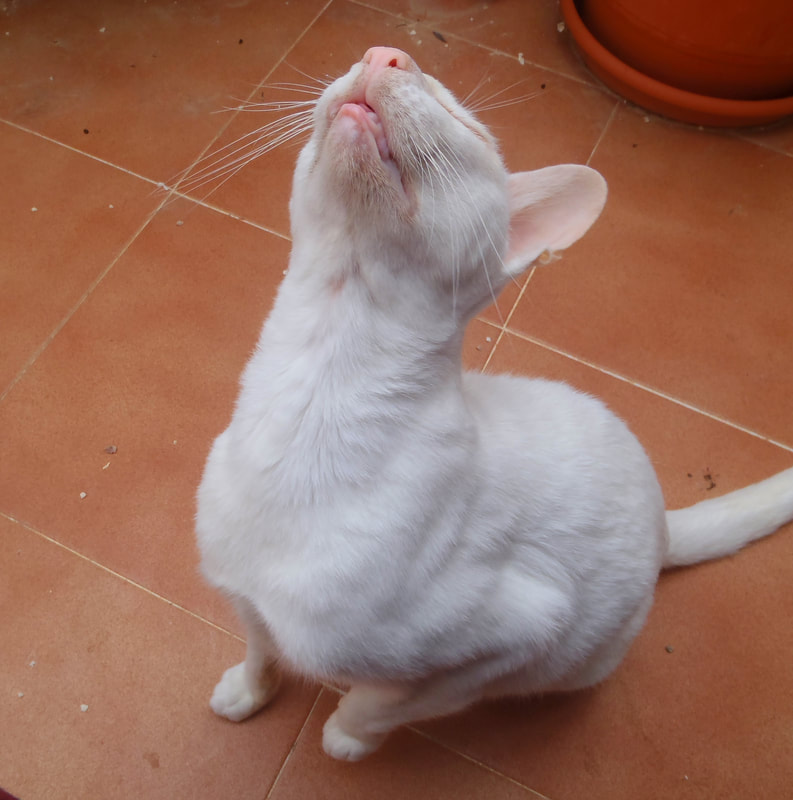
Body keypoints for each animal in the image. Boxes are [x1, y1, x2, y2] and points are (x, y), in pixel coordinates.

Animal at [195, 46, 793, 761]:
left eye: (465, 124)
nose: (386, 54)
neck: (308, 397)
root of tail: (663, 525)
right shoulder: (243, 589)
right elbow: (260, 644)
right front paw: (246, 692)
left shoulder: (513, 637)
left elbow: (381, 702)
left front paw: (345, 739)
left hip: (576, 653)